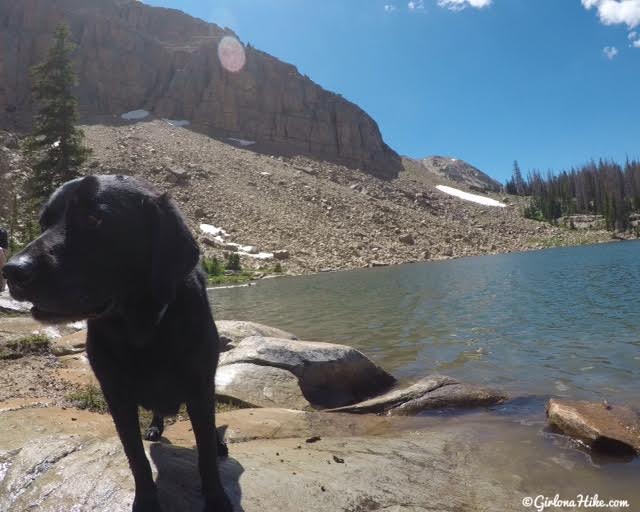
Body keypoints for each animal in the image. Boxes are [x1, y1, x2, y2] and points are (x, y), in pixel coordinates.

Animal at [2, 176, 232, 512]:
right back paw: (155, 427)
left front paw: (217, 499)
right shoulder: (117, 397)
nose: (12, 270)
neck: (141, 330)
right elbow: (136, 457)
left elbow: (204, 455)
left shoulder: (199, 388)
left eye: (93, 219)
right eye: (43, 223)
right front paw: (146, 501)